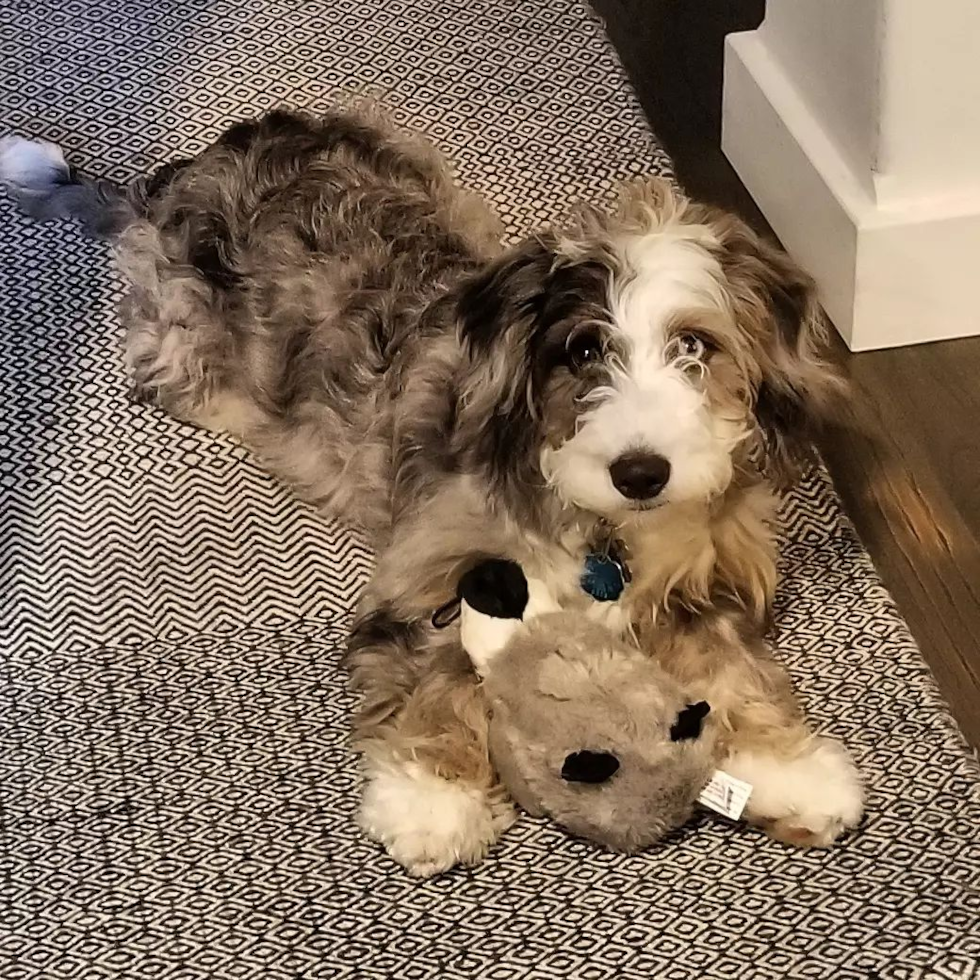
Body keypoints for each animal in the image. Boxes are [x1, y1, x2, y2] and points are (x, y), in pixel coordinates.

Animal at [0, 105, 860, 872]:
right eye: (582, 350)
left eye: (695, 346)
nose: (641, 471)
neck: (598, 524)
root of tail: (179, 175)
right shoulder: (435, 568)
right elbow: (432, 674)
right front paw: (432, 801)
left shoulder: (706, 574)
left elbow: (733, 666)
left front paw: (790, 770)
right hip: (183, 336)